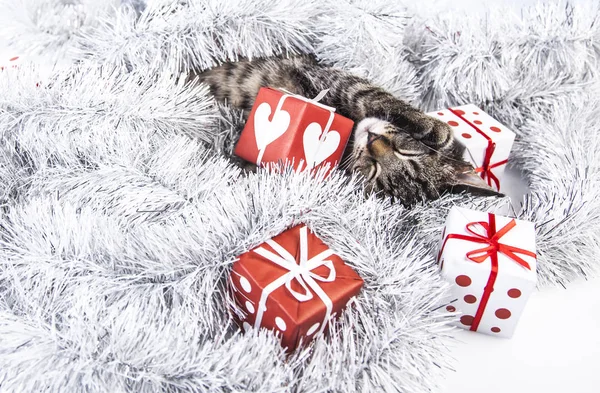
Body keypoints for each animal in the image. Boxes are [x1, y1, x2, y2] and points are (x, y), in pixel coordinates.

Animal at [191, 55, 496, 205]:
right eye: (407, 152)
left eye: (372, 171)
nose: (373, 140)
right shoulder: (335, 80)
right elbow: (376, 94)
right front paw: (434, 127)